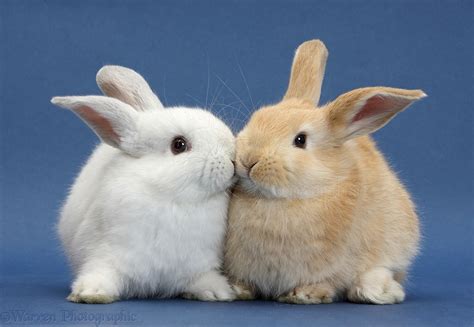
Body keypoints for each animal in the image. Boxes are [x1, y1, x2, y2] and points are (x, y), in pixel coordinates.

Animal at [51, 66, 235, 304]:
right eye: (179, 145)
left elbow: (202, 278)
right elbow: (100, 272)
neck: (173, 199)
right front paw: (90, 293)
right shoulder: (105, 254)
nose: (233, 159)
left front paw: (218, 292)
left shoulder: (197, 265)